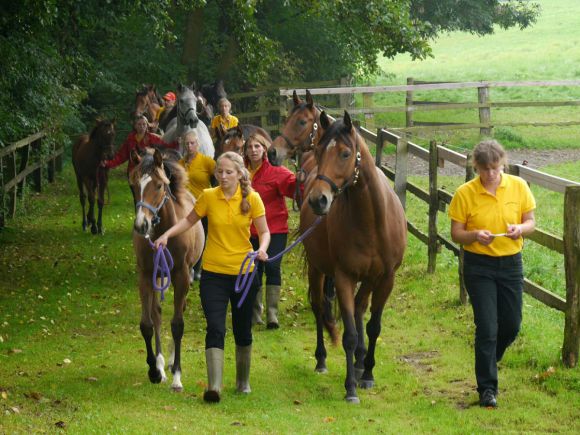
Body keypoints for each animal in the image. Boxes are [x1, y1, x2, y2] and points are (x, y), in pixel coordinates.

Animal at [130, 148, 205, 394]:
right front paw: (154, 370)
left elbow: (178, 324)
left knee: (178, 310)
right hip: (159, 277)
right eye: (134, 185)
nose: (141, 225)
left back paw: (171, 362)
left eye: (159, 185)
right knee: (157, 313)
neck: (165, 233)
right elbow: (147, 323)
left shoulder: (181, 276)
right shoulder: (145, 276)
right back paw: (162, 363)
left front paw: (177, 377)